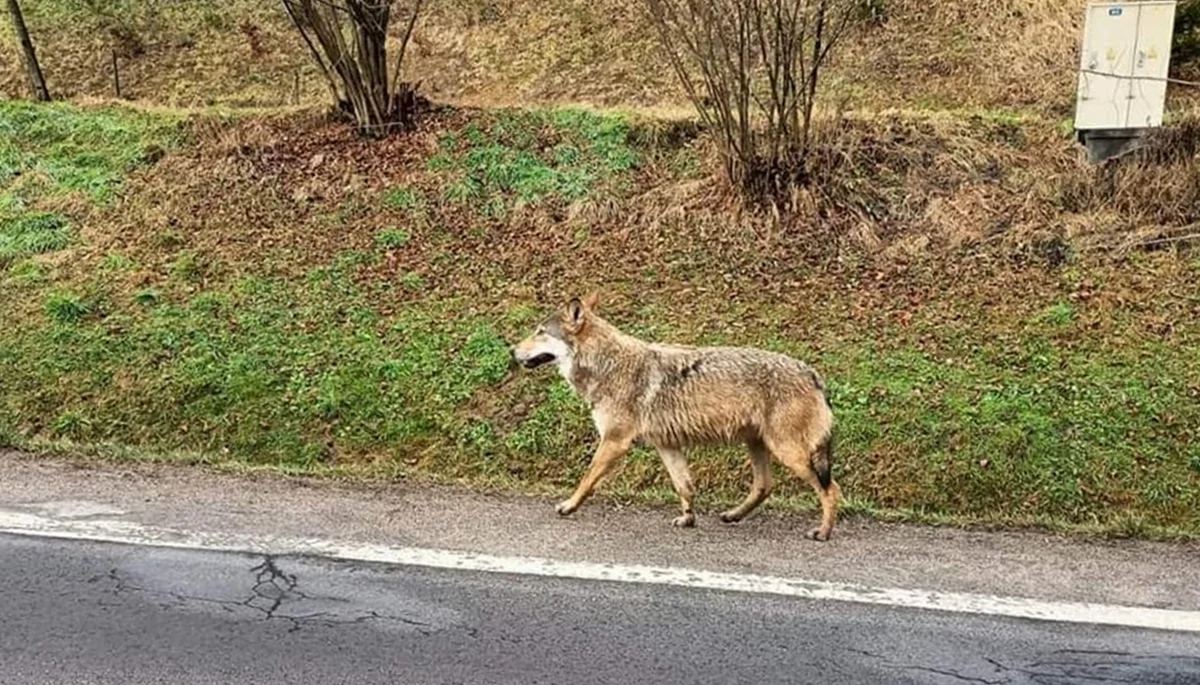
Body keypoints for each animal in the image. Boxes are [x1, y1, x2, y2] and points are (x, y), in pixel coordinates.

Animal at [511, 292, 840, 544]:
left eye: (540, 332)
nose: (512, 350)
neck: (607, 364)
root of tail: (813, 374)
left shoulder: (615, 442)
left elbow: (588, 479)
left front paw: (569, 506)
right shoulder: (666, 445)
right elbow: (684, 486)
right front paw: (688, 519)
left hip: (790, 453)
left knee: (830, 489)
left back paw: (823, 532)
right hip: (759, 445)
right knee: (764, 486)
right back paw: (732, 515)